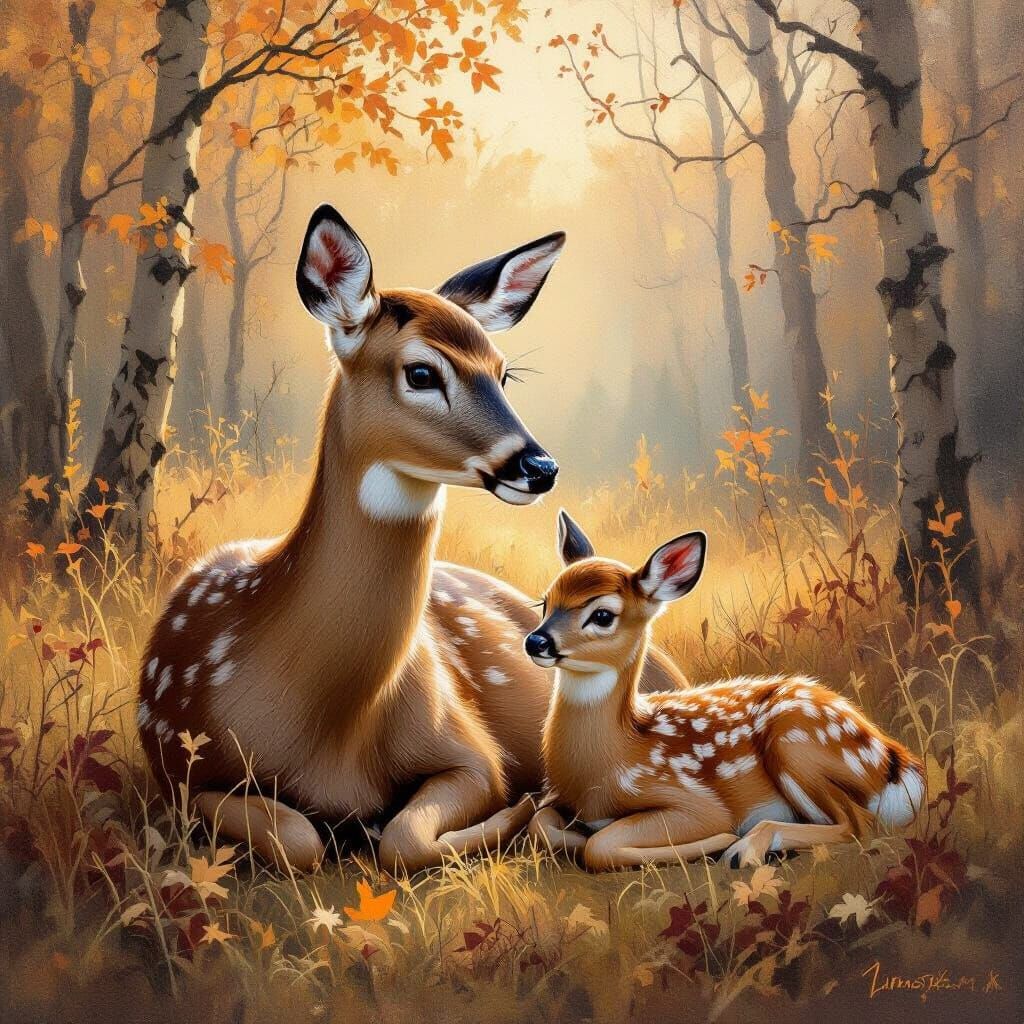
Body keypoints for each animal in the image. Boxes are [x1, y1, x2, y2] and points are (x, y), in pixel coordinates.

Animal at [137, 206, 688, 873]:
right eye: (422, 372)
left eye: (504, 372)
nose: (539, 467)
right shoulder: (180, 769)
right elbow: (298, 839)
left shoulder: (468, 747)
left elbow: (405, 839)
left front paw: (515, 810)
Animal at [523, 511, 926, 871]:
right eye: (546, 602)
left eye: (603, 615)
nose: (536, 641)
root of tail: (894, 760)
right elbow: (540, 824)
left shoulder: (694, 800)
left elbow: (600, 846)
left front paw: (720, 841)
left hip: (795, 740)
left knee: (856, 824)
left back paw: (747, 848)